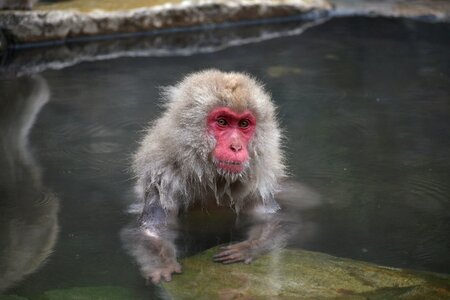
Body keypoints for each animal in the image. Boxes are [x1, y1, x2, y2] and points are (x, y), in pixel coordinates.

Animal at [121, 69, 286, 284]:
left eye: (244, 124)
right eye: (222, 122)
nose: (236, 147)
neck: (213, 177)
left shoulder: (258, 184)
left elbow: (270, 221)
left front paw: (246, 248)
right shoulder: (163, 176)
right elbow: (153, 230)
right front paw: (161, 263)